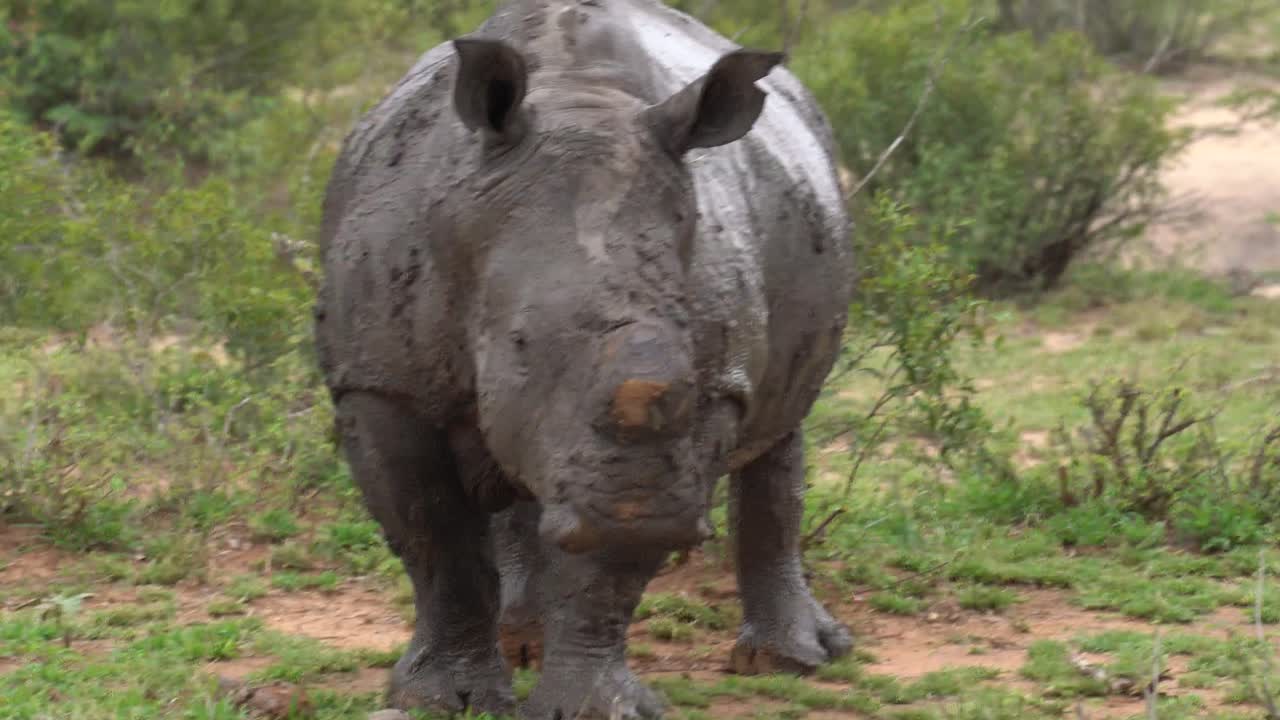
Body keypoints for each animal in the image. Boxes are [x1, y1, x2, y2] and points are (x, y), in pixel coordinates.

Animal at [314, 1, 855, 717]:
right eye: (517, 343)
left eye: (694, 344)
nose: (647, 506)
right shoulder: (380, 383)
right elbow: (436, 538)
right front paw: (443, 700)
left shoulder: (712, 391)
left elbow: (606, 566)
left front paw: (597, 707)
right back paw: (521, 642)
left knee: (782, 424)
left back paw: (791, 661)